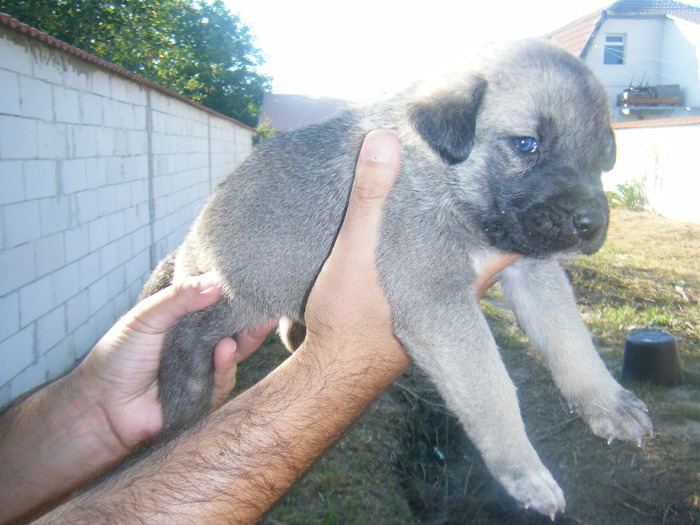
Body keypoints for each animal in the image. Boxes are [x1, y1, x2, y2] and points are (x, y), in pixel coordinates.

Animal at [141, 39, 652, 516]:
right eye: (527, 144)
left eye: (602, 159)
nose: (592, 225)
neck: (443, 179)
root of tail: (189, 239)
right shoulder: (437, 302)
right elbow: (493, 391)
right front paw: (524, 471)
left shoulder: (532, 269)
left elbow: (572, 342)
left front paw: (608, 402)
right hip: (238, 291)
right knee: (189, 329)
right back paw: (185, 398)